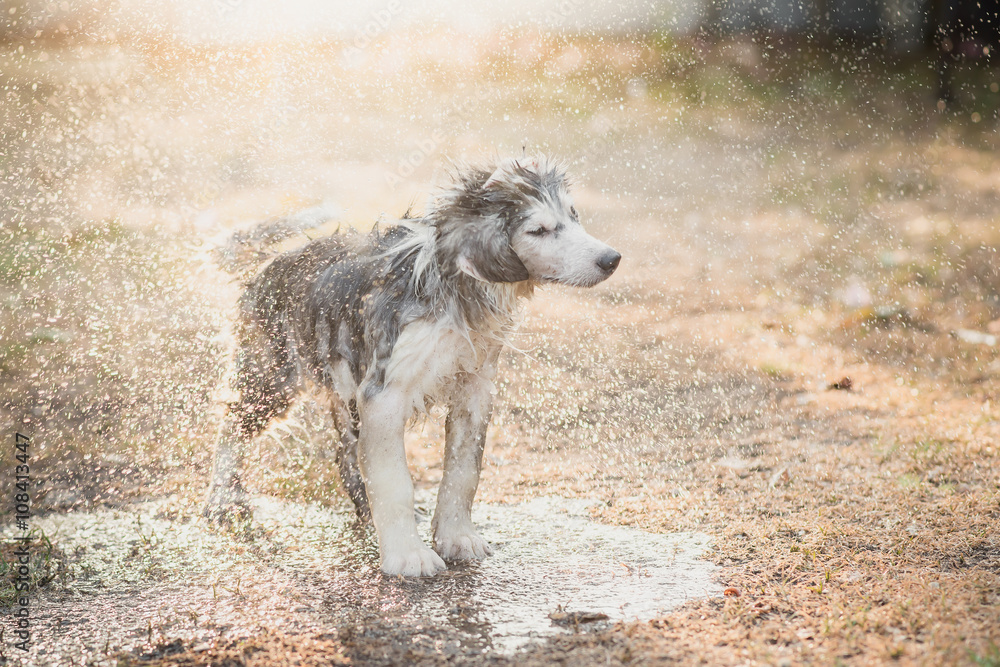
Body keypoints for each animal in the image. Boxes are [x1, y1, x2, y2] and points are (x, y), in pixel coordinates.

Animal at [203, 155, 620, 576]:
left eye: (573, 215)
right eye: (538, 230)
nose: (611, 259)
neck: (454, 288)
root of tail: (269, 265)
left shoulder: (474, 387)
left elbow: (463, 472)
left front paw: (457, 537)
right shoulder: (384, 392)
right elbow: (394, 481)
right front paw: (408, 555)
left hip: (342, 390)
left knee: (345, 456)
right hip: (272, 377)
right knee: (231, 428)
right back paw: (223, 502)